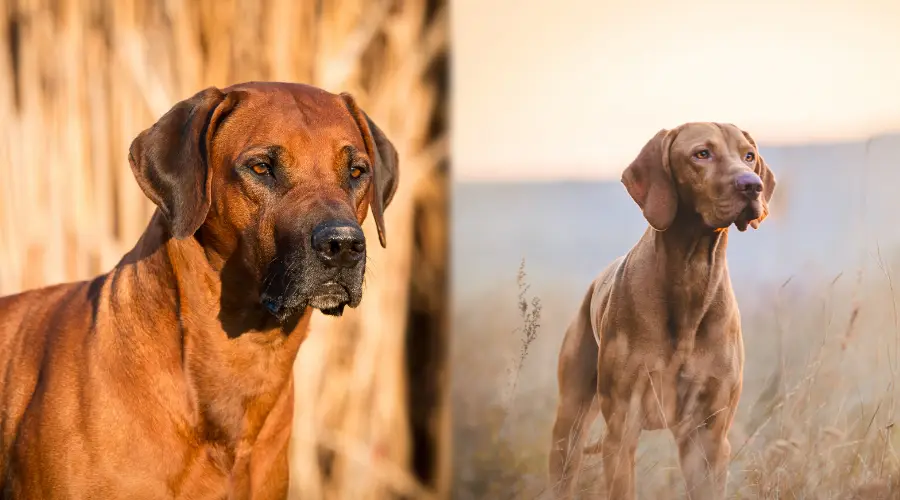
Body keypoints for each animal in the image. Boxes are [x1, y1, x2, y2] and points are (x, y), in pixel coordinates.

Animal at [548, 122, 772, 500]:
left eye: (748, 156)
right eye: (702, 154)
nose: (752, 185)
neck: (691, 277)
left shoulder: (709, 437)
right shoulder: (622, 429)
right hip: (569, 426)